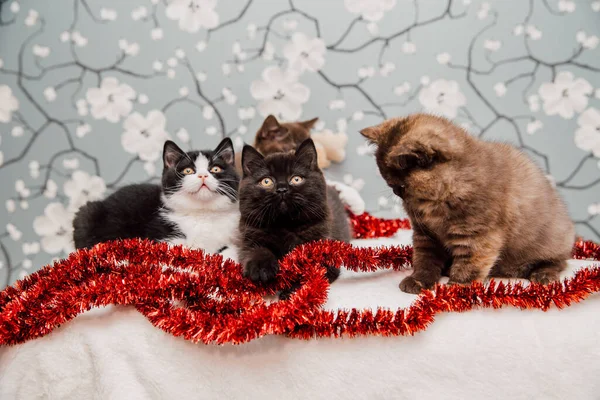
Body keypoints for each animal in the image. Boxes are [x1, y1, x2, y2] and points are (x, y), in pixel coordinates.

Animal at [71, 138, 239, 256]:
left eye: (215, 169)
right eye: (188, 171)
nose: (203, 175)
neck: (202, 213)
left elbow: (230, 253)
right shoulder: (161, 229)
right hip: (86, 214)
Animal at [238, 139, 352, 292]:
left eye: (296, 179)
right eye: (266, 181)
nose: (282, 189)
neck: (284, 224)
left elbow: (310, 270)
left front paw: (293, 290)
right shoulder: (249, 237)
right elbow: (255, 250)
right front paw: (261, 268)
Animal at [358, 112, 576, 294]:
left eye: (401, 186)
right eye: (390, 183)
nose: (396, 192)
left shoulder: (477, 237)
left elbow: (468, 266)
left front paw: (456, 290)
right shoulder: (425, 234)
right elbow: (424, 260)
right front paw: (418, 280)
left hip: (552, 241)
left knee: (558, 261)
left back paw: (542, 274)